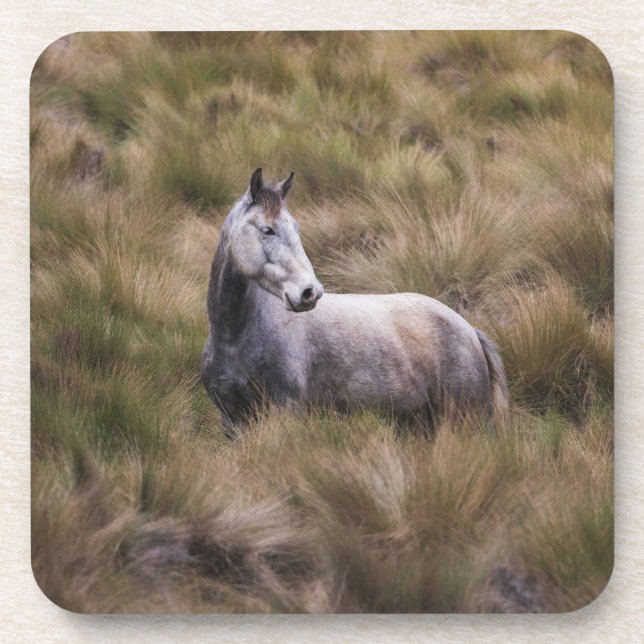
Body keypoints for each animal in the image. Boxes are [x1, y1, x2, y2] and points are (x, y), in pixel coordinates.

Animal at [201, 168, 509, 436]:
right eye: (267, 230)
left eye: (296, 229)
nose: (310, 292)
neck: (235, 338)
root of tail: (469, 331)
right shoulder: (232, 420)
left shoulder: (284, 412)